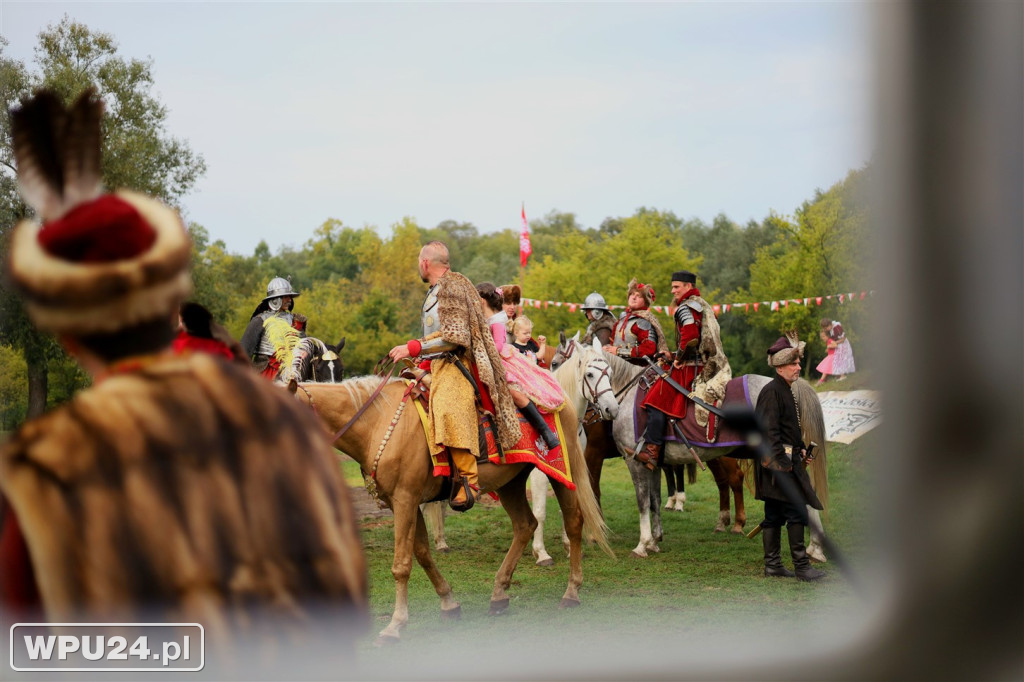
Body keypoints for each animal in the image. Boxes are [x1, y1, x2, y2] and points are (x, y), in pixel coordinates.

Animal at [290, 372, 606, 643]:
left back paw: (571, 592)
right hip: (511, 481)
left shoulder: (405, 499)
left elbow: (402, 564)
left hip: (561, 471)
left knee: (573, 522)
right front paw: (449, 604)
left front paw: (395, 625)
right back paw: (499, 594)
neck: (378, 423)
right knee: (525, 524)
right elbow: (422, 553)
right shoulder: (403, 502)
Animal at [421, 337, 618, 557]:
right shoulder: (542, 472)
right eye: (590, 374)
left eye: (610, 372)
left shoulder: (567, 468)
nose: (612, 409)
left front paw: (568, 545)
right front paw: (541, 553)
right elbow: (540, 512)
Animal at [598, 350, 831, 557]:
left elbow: (643, 501)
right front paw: (654, 541)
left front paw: (642, 545)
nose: (608, 410)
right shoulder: (652, 464)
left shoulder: (635, 462)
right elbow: (654, 500)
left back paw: (815, 548)